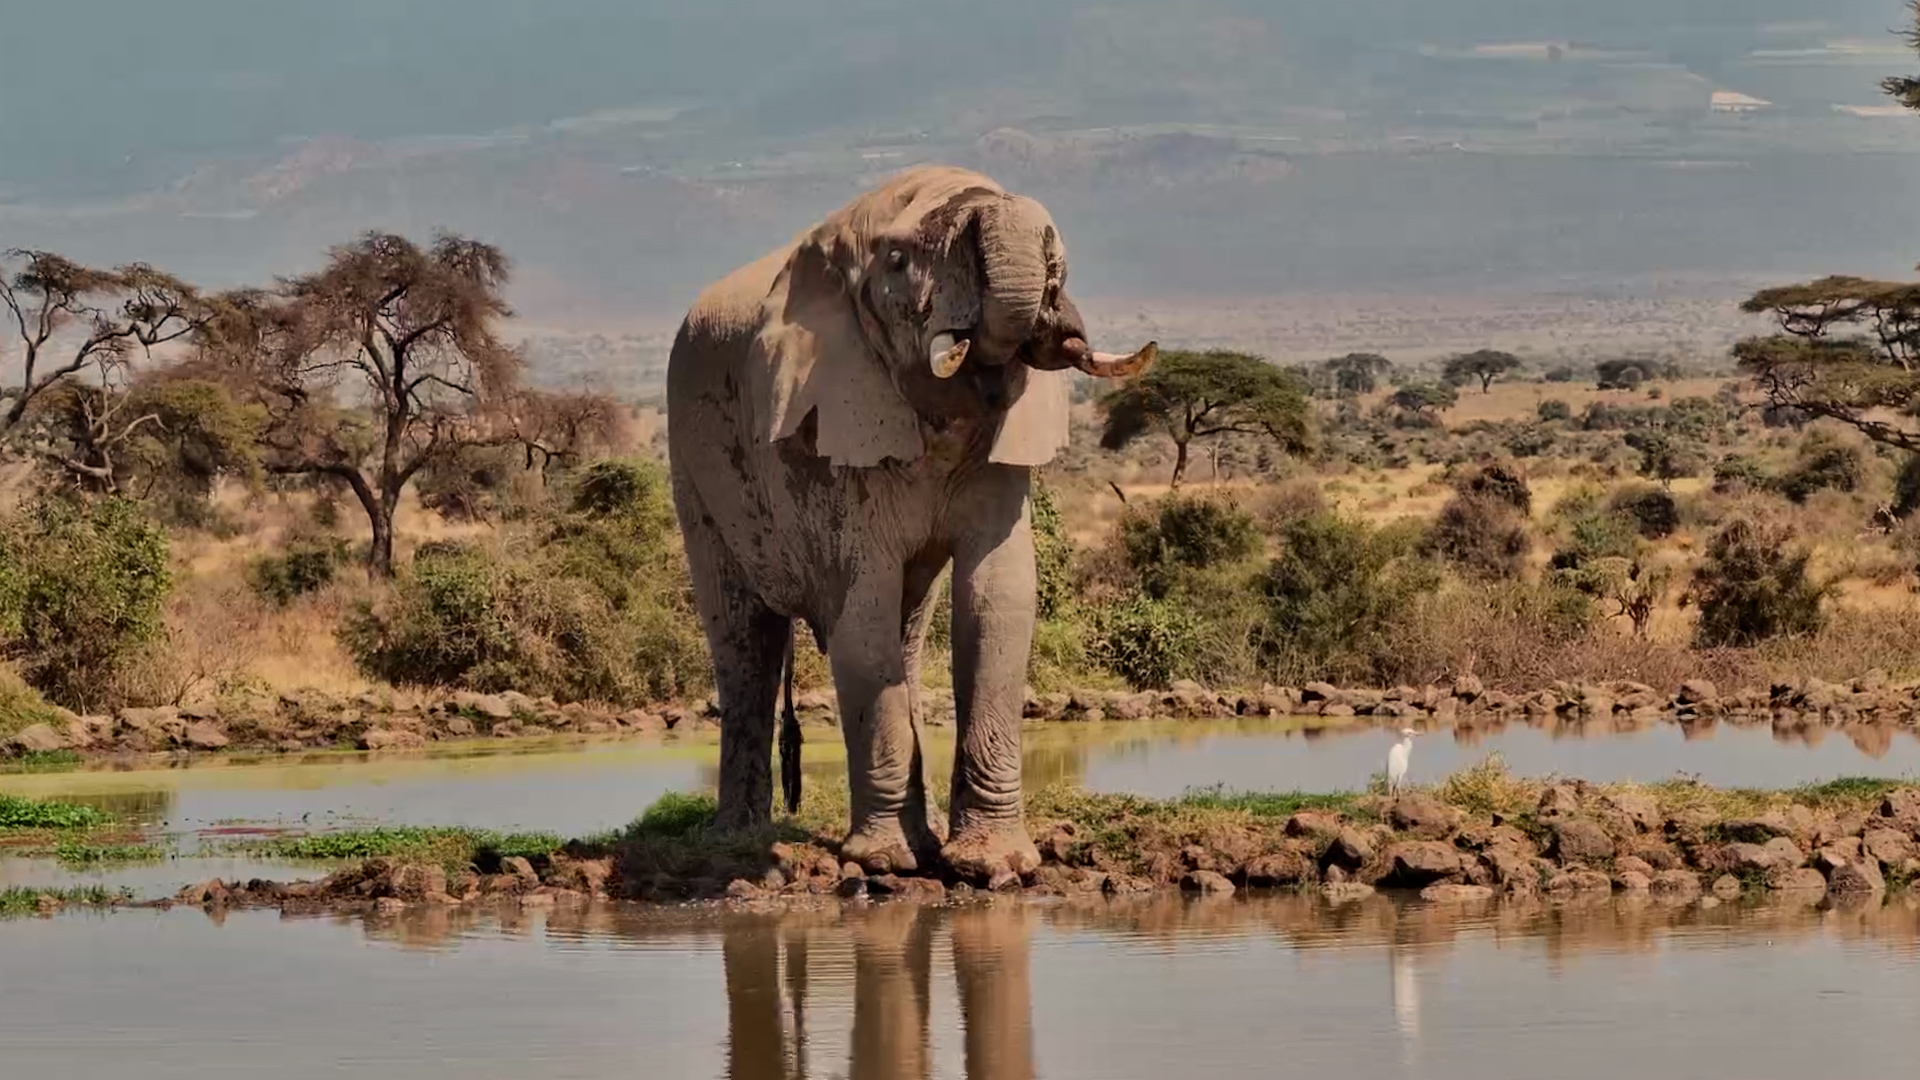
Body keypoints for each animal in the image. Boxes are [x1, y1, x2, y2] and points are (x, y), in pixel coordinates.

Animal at [666, 164, 1156, 880]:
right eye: (897, 261)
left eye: (1060, 258)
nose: (1050, 269)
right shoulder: (838, 430)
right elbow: (861, 613)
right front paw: (886, 864)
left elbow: (999, 602)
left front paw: (993, 866)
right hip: (694, 467)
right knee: (744, 638)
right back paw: (734, 840)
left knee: (906, 630)